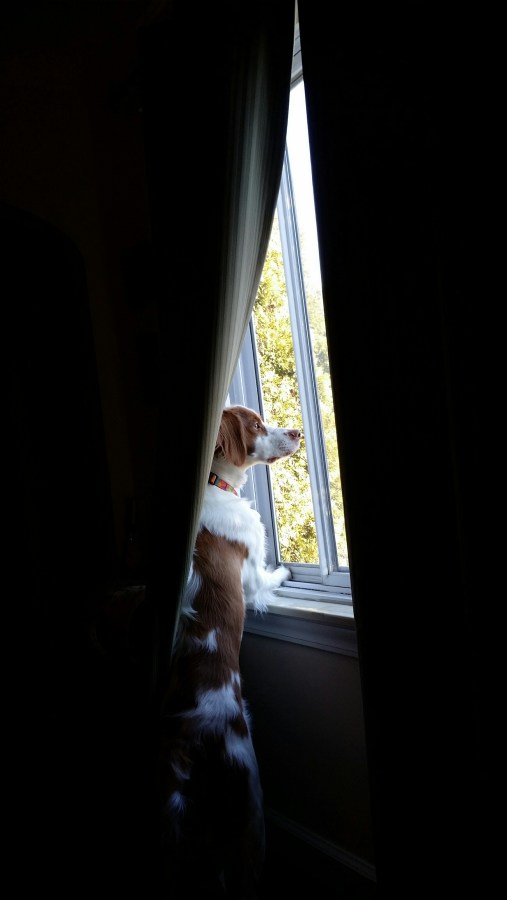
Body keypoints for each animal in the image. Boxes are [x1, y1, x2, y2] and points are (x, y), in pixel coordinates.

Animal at [159, 405, 301, 898]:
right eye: (256, 425)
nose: (298, 431)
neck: (216, 484)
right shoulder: (252, 569)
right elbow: (267, 579)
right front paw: (288, 571)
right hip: (249, 801)